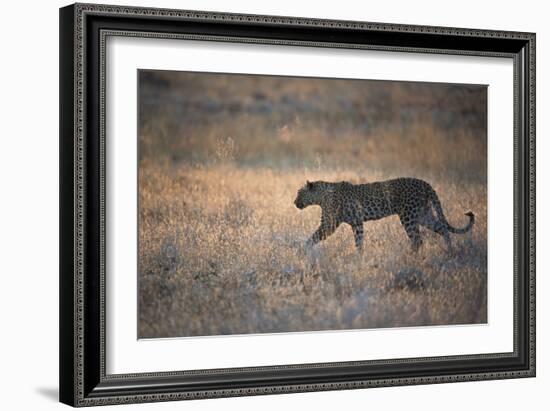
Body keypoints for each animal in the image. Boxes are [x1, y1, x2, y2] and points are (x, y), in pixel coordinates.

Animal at [296, 178, 476, 253]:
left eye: (299, 193)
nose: (294, 202)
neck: (321, 196)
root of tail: (425, 184)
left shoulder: (329, 224)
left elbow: (313, 237)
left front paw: (303, 250)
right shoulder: (357, 223)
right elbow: (359, 242)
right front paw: (359, 257)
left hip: (408, 216)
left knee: (418, 240)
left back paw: (409, 257)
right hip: (423, 214)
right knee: (443, 229)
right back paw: (449, 251)